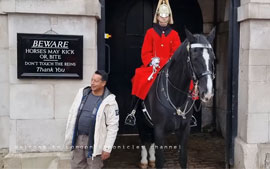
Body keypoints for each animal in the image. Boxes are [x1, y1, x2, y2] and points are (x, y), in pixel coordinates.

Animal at [136, 28, 216, 168]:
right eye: (195, 58)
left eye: (213, 58)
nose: (208, 93)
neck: (176, 95)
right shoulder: (159, 130)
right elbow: (160, 161)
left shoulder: (184, 130)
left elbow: (183, 159)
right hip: (142, 122)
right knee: (144, 139)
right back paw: (144, 161)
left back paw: (151, 159)